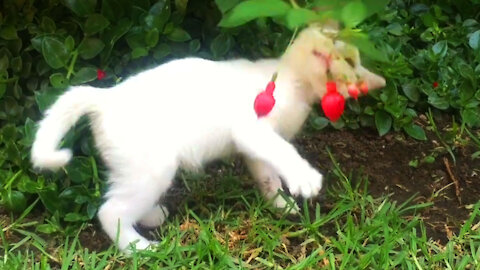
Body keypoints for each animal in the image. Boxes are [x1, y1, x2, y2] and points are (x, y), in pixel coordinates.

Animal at [30, 26, 384, 251]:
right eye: (350, 64)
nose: (367, 83)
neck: (292, 81)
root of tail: (106, 98)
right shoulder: (252, 129)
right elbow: (283, 151)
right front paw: (303, 177)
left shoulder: (254, 147)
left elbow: (268, 175)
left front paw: (280, 204)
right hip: (153, 169)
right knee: (110, 212)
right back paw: (137, 247)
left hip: (136, 172)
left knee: (122, 200)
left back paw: (149, 216)